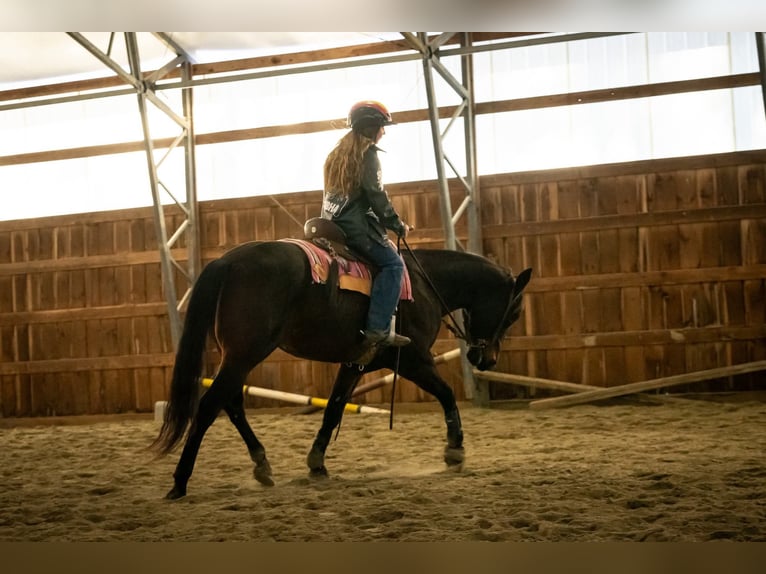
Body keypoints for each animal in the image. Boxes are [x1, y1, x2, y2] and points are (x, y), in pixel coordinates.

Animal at [150, 236, 536, 502]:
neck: (423, 283)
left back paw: (261, 464)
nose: (486, 360)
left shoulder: (356, 362)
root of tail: (228, 261)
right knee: (208, 407)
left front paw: (317, 463)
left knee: (231, 404)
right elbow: (447, 394)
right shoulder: (414, 359)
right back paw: (180, 481)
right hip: (244, 354)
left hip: (238, 356)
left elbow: (333, 409)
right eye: (514, 312)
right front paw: (454, 451)